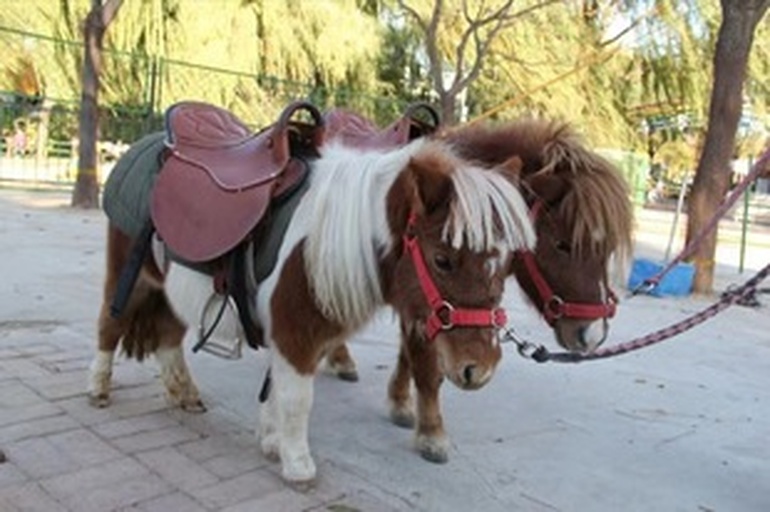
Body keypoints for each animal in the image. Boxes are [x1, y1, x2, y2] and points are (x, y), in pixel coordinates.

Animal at [88, 120, 537, 483]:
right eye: (442, 259)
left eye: (508, 263)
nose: (478, 369)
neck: (325, 241)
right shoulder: (295, 335)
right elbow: (297, 398)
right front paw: (297, 464)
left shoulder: (302, 337)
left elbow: (278, 389)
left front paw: (272, 442)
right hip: (129, 272)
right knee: (110, 324)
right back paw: (98, 390)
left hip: (170, 286)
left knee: (168, 335)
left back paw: (184, 393)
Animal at [323, 118, 634, 463]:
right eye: (563, 244)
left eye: (607, 249)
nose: (593, 335)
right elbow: (425, 366)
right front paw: (431, 433)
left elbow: (411, 354)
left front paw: (401, 402)